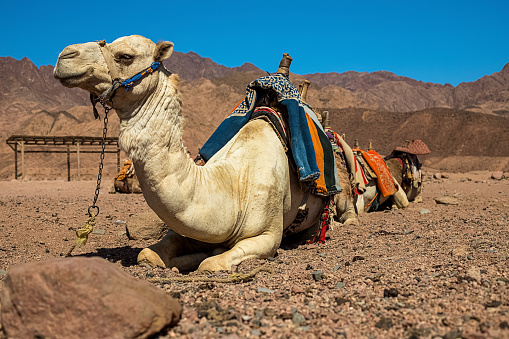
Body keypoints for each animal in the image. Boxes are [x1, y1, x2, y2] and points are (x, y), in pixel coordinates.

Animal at [52, 34, 354, 272]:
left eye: (125, 55)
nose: (64, 55)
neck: (234, 184)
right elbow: (148, 254)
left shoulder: (267, 235)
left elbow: (212, 263)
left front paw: (205, 258)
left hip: (341, 190)